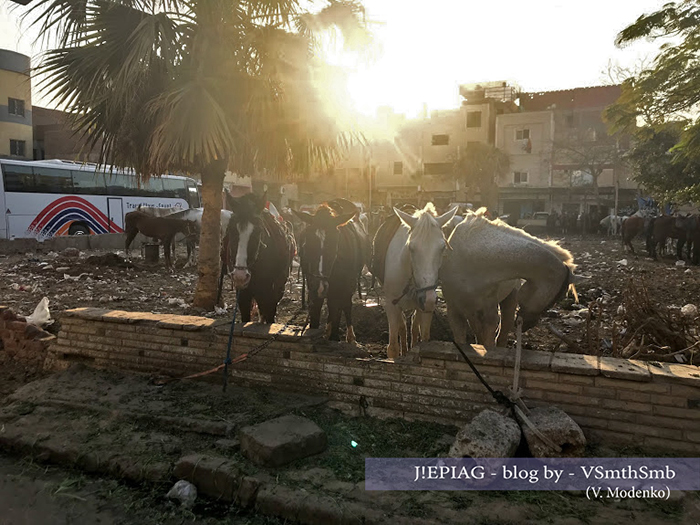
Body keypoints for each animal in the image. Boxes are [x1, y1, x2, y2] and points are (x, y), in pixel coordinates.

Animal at [380, 203, 456, 358]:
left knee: (413, 325)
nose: (428, 299)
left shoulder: (426, 307)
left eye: (442, 248)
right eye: (411, 247)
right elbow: (393, 347)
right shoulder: (391, 304)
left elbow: (424, 337)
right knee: (402, 325)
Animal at [442, 208, 576, 348]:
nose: (528, 325)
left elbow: (489, 341)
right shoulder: (454, 311)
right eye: (557, 298)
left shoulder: (489, 314)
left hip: (509, 302)